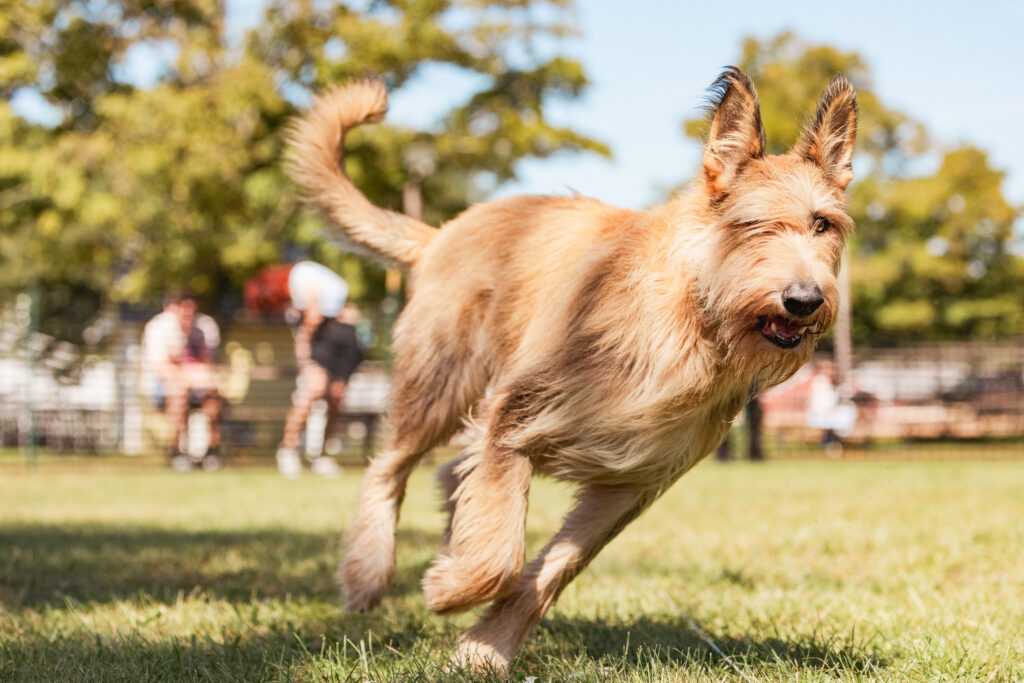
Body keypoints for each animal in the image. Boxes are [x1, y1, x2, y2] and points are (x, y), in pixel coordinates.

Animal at [286, 66, 856, 675]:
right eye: (752, 225)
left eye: (822, 224)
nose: (804, 300)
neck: (691, 322)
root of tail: (443, 232)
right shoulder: (516, 415)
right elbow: (500, 555)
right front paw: (452, 590)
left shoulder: (629, 485)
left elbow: (550, 570)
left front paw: (485, 648)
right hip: (440, 386)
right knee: (388, 468)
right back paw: (367, 576)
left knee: (449, 473)